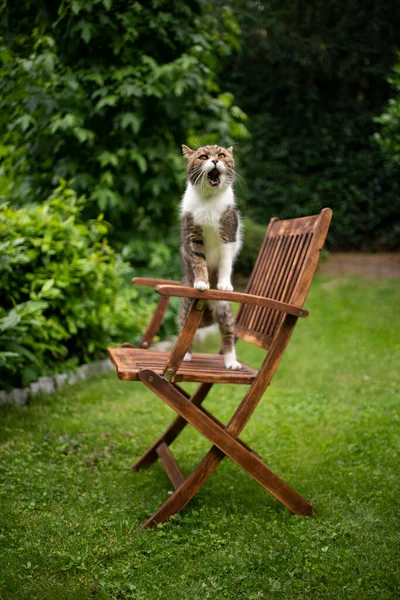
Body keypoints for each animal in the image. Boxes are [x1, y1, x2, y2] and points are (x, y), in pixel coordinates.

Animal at [180, 145, 242, 370]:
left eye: (222, 155)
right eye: (203, 156)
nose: (215, 160)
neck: (209, 200)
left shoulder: (228, 236)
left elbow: (225, 264)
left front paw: (223, 284)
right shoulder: (193, 235)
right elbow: (199, 262)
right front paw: (202, 282)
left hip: (224, 310)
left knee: (228, 336)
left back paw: (232, 363)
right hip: (187, 306)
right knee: (183, 330)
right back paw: (186, 356)